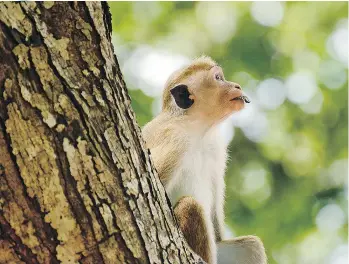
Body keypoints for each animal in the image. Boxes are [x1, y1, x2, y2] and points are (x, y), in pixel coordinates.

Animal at [141, 56, 266, 264]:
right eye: (218, 78)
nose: (237, 86)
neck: (200, 129)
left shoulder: (217, 148)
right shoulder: (175, 139)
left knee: (251, 246)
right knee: (190, 206)